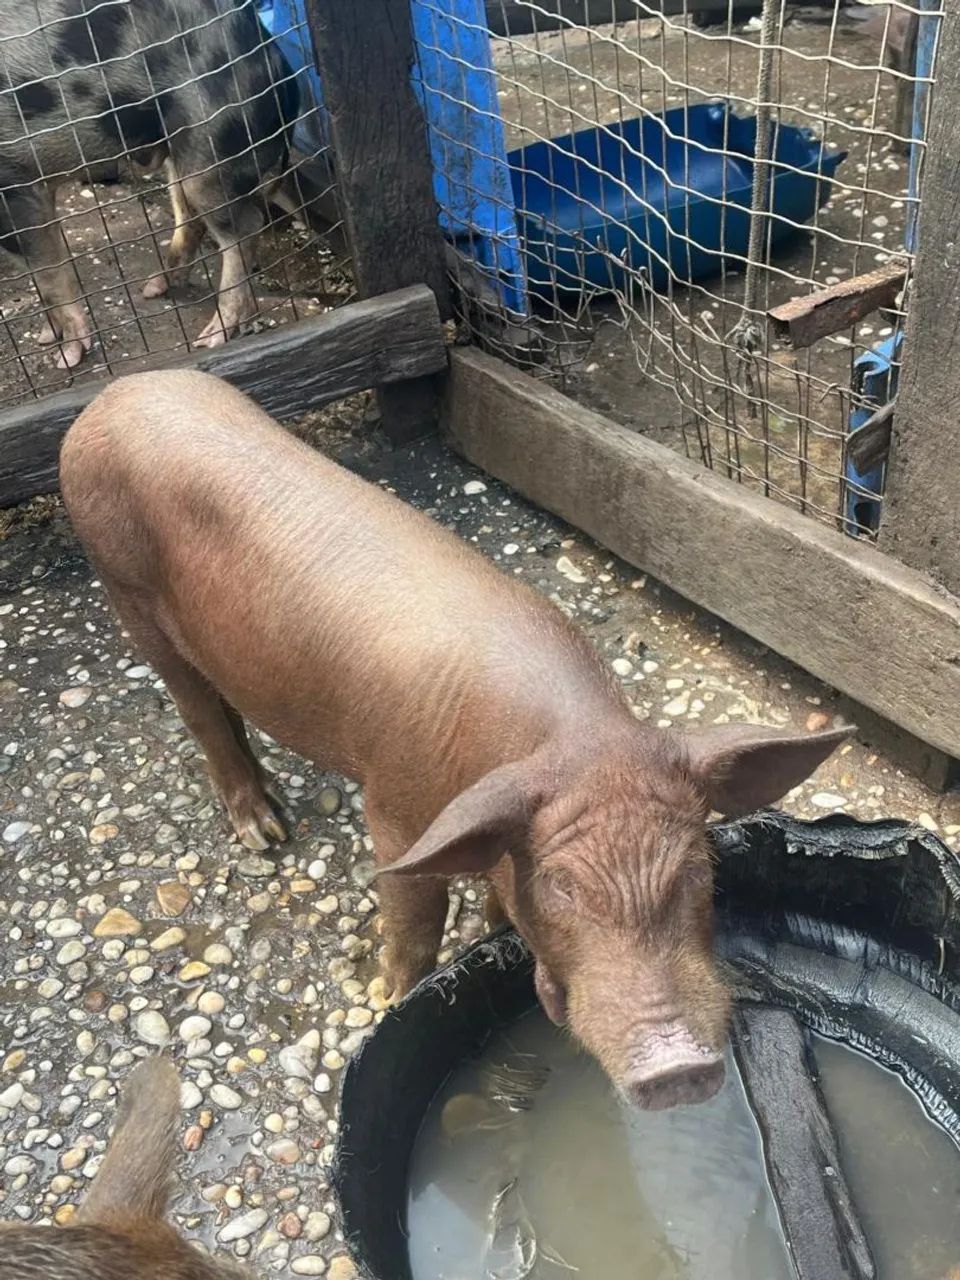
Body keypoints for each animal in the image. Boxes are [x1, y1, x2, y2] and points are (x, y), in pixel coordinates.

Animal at [0, 0, 302, 368]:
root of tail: (275, 59)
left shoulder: (15, 181)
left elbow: (49, 272)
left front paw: (66, 357)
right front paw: (47, 337)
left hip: (215, 140)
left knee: (245, 227)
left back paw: (211, 337)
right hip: (181, 151)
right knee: (192, 219)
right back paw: (153, 288)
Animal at [59, 369, 852, 1110]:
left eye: (698, 870)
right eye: (563, 886)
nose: (679, 1066)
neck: (570, 741)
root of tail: (110, 397)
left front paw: (488, 932)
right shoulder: (394, 807)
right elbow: (413, 921)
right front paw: (384, 1002)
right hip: (125, 589)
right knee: (195, 709)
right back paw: (265, 834)